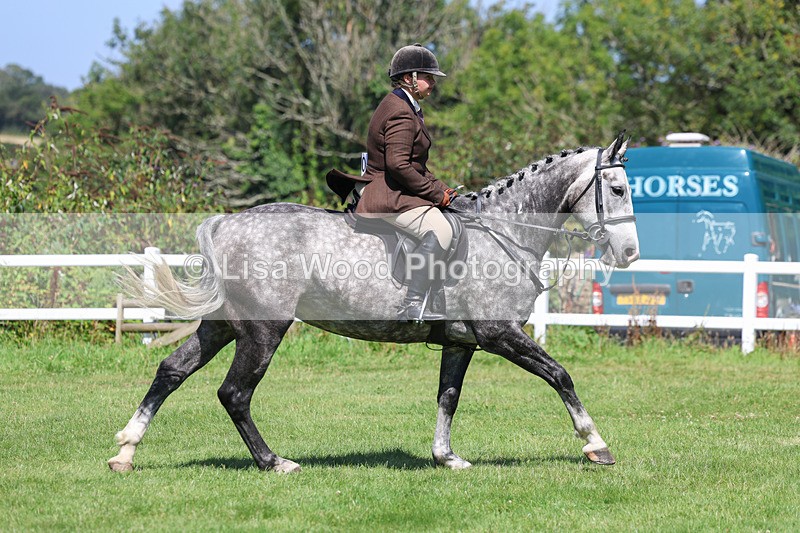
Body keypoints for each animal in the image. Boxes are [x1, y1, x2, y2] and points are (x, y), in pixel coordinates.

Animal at [108, 134, 639, 473]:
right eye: (617, 189)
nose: (630, 253)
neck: (505, 230)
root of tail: (227, 223)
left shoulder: (462, 342)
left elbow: (448, 396)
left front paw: (446, 458)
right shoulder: (499, 333)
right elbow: (560, 375)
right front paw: (596, 444)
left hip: (222, 325)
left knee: (171, 370)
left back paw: (126, 451)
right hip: (264, 330)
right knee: (235, 393)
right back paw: (274, 462)